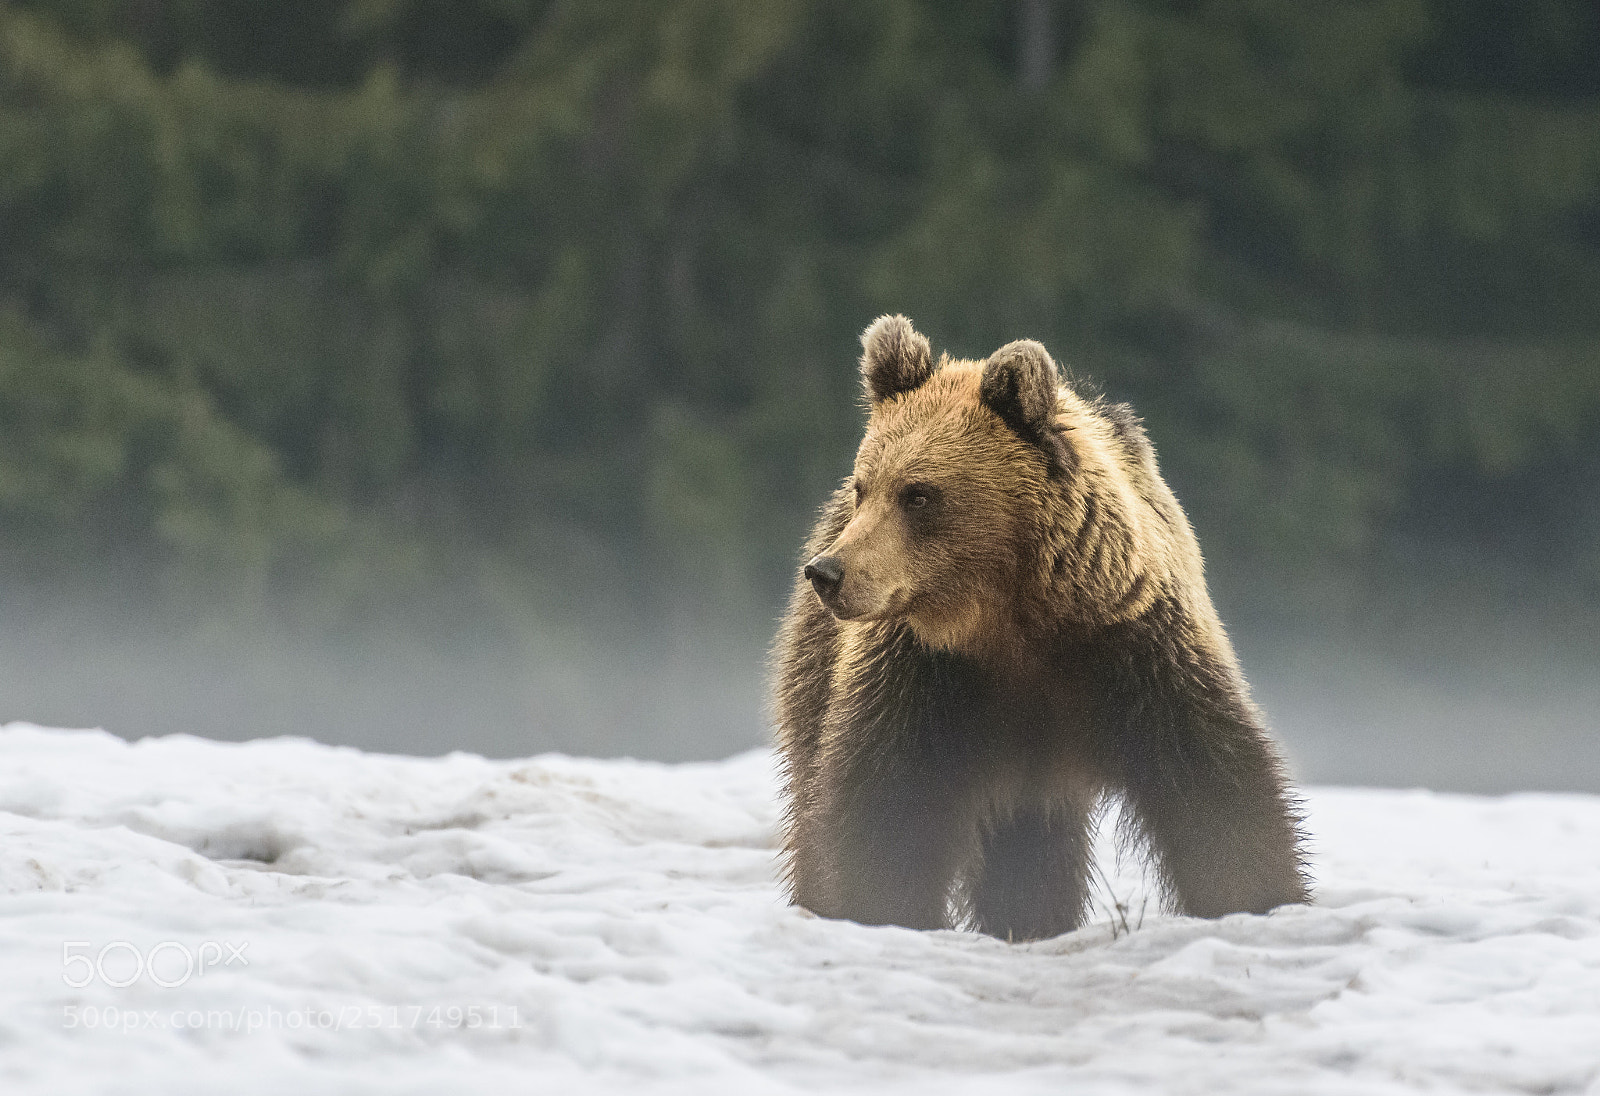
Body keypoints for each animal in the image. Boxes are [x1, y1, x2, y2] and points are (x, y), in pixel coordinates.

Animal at [772, 315, 1308, 941]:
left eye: (918, 494)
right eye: (865, 485)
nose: (828, 572)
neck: (1011, 622)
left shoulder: (1134, 650)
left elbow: (1215, 788)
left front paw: (1263, 899)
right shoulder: (924, 677)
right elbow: (883, 809)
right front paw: (874, 910)